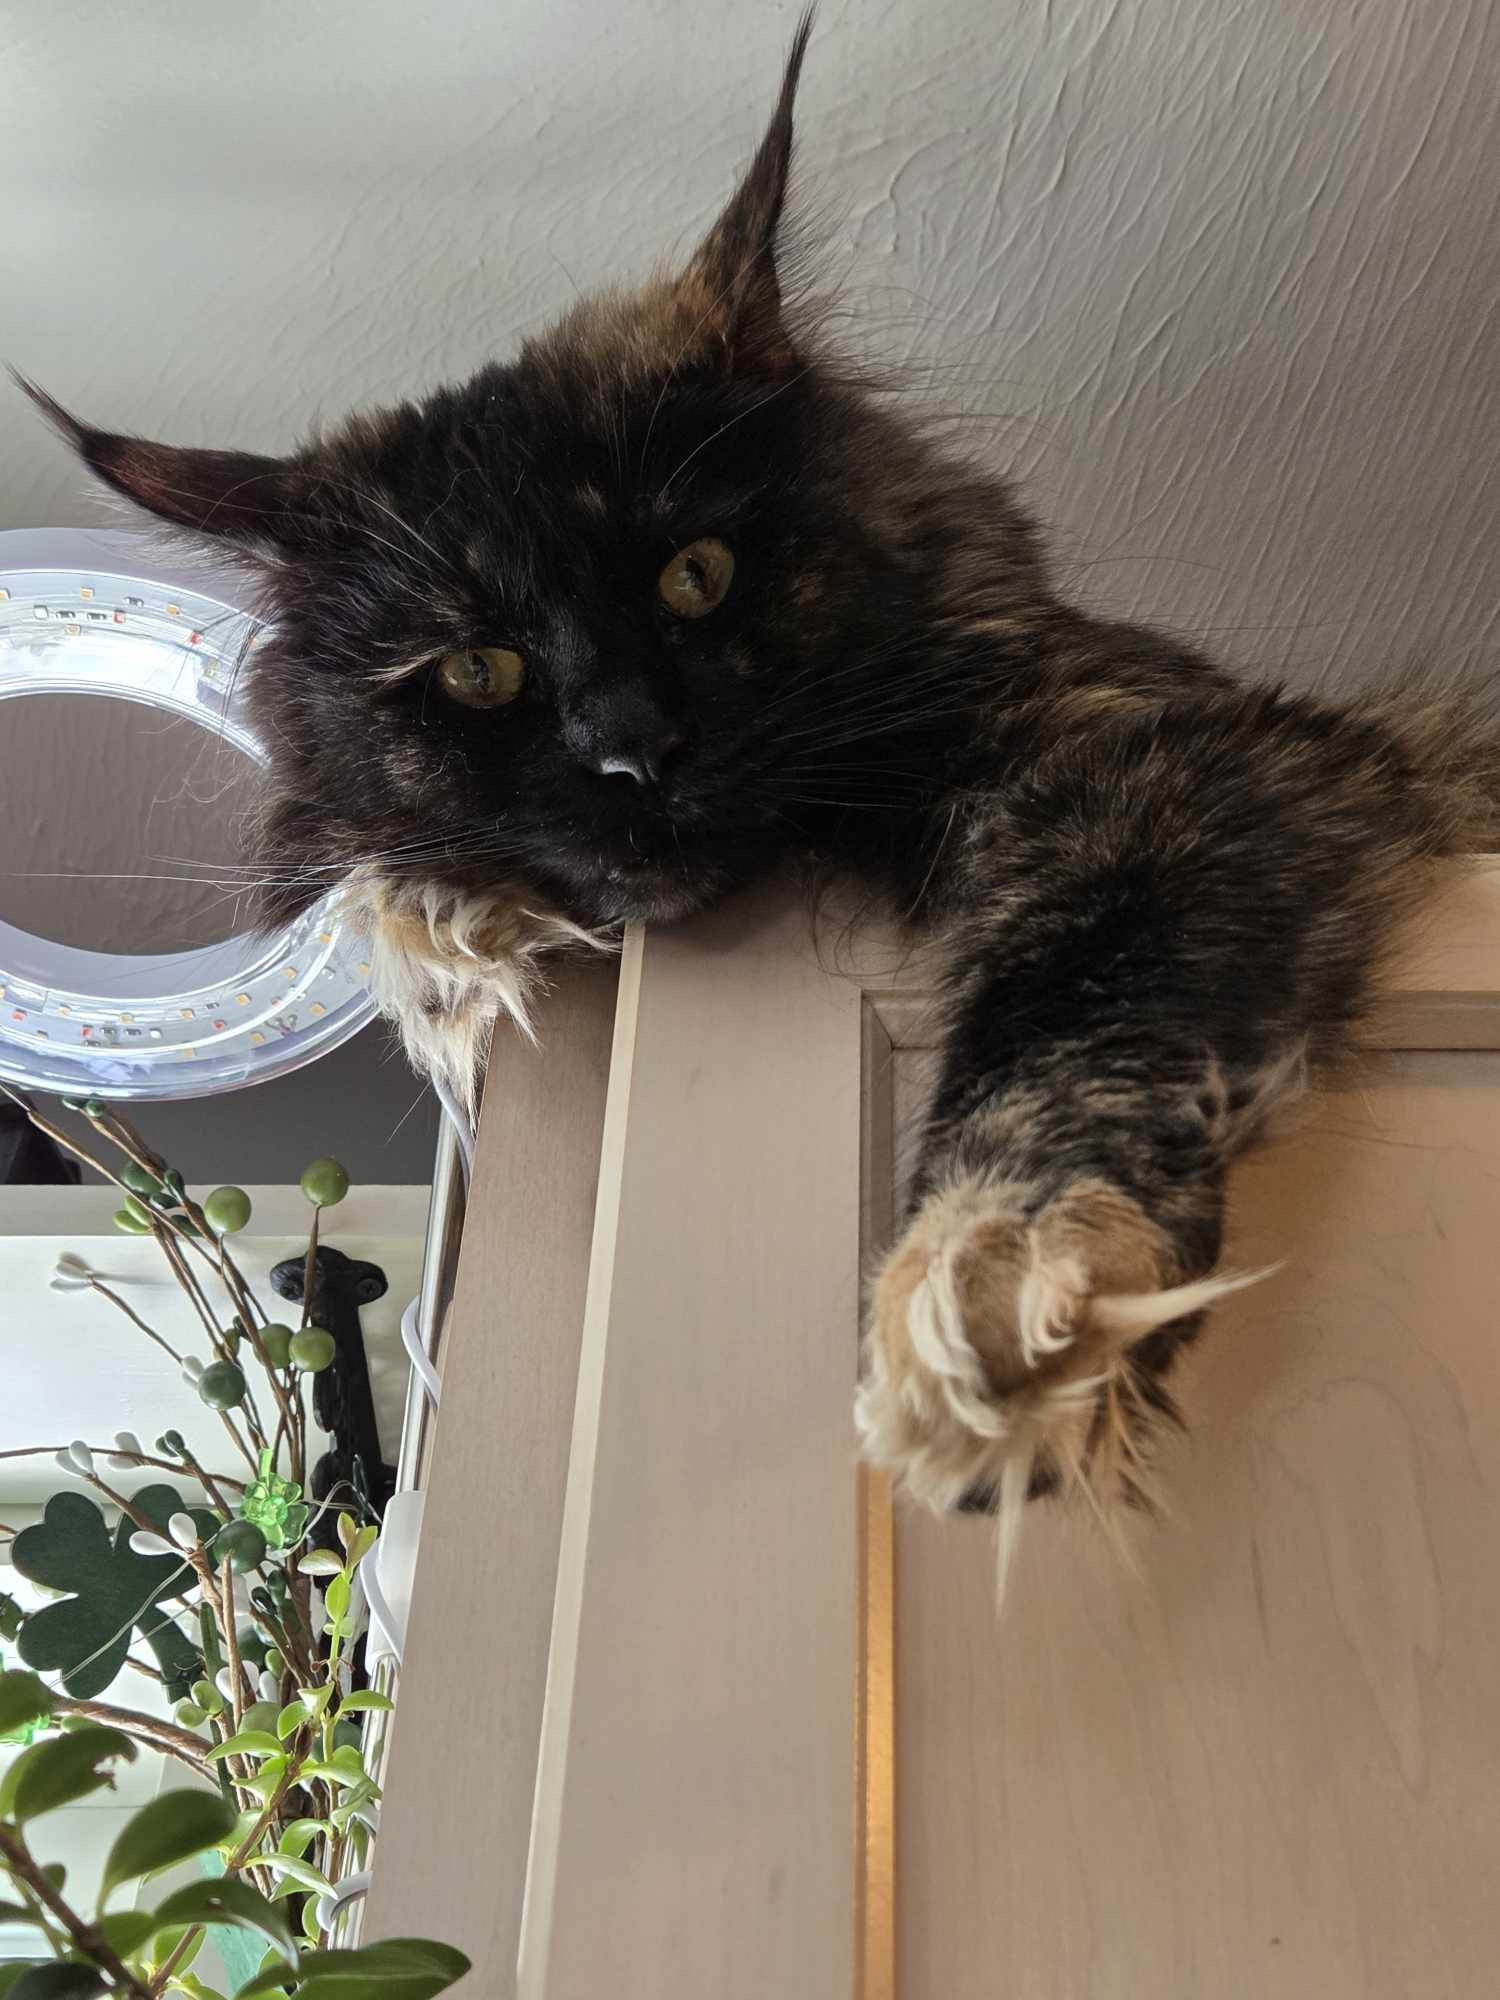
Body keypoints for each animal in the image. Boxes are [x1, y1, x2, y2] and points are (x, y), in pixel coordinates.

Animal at [19, 12, 1498, 1539]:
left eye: (696, 574)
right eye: (479, 669)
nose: (634, 750)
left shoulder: (1184, 759)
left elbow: (1087, 1006)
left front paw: (990, 1298)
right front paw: (444, 928)